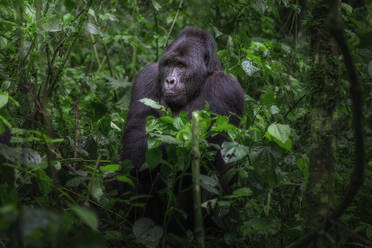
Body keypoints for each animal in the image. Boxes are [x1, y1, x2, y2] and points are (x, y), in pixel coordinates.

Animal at [120, 27, 246, 231]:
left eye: (181, 66)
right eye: (169, 64)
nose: (169, 81)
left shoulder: (226, 86)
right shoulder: (146, 75)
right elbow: (135, 142)